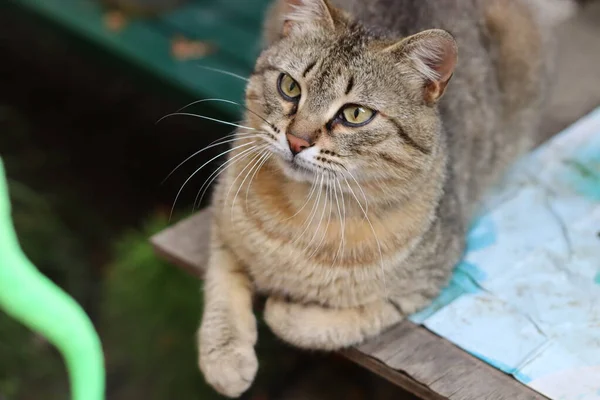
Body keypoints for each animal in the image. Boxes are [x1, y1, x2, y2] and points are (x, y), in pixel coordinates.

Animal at [196, 0, 568, 396]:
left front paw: (284, 309)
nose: (296, 141)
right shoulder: (223, 222)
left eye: (355, 114)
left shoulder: (422, 285)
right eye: (289, 86)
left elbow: (324, 323)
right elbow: (221, 284)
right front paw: (225, 357)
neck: (305, 211)